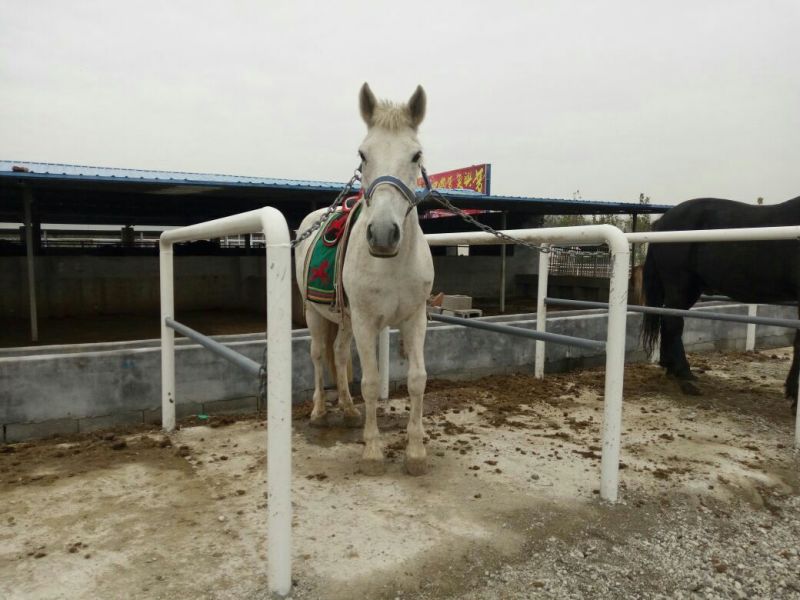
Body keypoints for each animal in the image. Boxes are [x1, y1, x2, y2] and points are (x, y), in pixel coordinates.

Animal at [294, 83, 434, 475]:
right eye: (363, 153)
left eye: (416, 154)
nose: (383, 235)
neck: (392, 264)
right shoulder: (367, 321)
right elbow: (371, 382)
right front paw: (372, 450)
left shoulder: (415, 318)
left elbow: (417, 380)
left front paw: (416, 451)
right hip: (316, 315)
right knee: (317, 355)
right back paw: (320, 411)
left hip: (344, 319)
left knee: (340, 355)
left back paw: (347, 408)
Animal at [640, 195, 800, 412]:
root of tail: (662, 222)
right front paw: (794, 396)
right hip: (679, 285)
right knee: (673, 323)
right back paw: (685, 375)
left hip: (690, 289)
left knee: (668, 320)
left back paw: (670, 368)